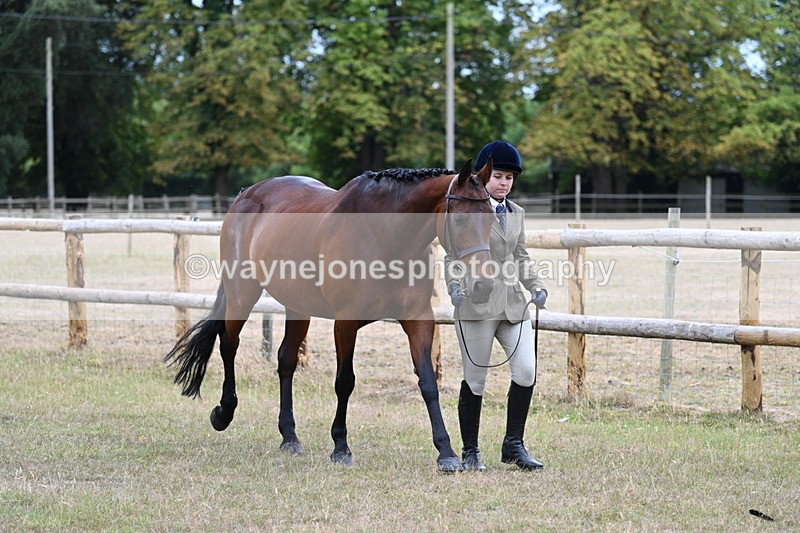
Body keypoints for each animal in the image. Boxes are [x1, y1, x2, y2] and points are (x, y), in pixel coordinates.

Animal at [165, 158, 498, 472]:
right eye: (460, 218)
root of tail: (245, 195)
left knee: (286, 361)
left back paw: (290, 437)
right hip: (241, 295)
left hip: (297, 307)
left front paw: (446, 452)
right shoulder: (346, 322)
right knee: (228, 345)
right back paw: (224, 412)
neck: (384, 236)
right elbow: (344, 382)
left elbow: (428, 382)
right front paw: (341, 447)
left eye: (493, 217)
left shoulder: (418, 319)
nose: (483, 285)